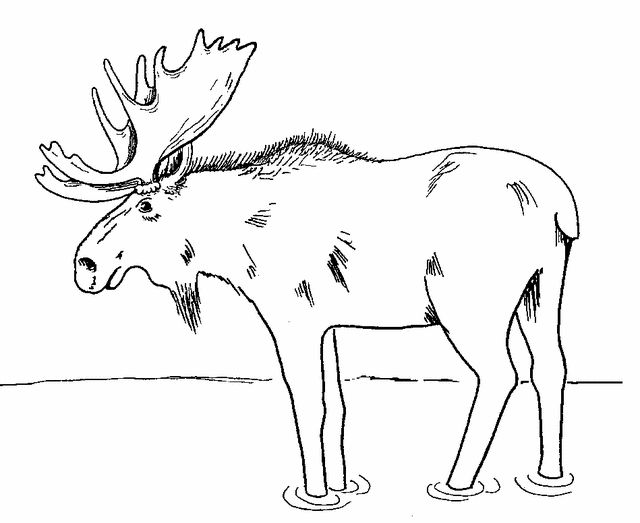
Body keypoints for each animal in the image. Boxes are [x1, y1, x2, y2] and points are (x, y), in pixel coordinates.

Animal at [36, 31, 579, 508]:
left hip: (468, 304)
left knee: (501, 374)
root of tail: (559, 204)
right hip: (542, 288)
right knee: (551, 367)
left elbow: (308, 403)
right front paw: (344, 485)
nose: (85, 263)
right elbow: (337, 404)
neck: (234, 242)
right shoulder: (329, 324)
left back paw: (456, 484)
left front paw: (315, 494)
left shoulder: (290, 319)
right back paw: (547, 477)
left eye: (146, 205)